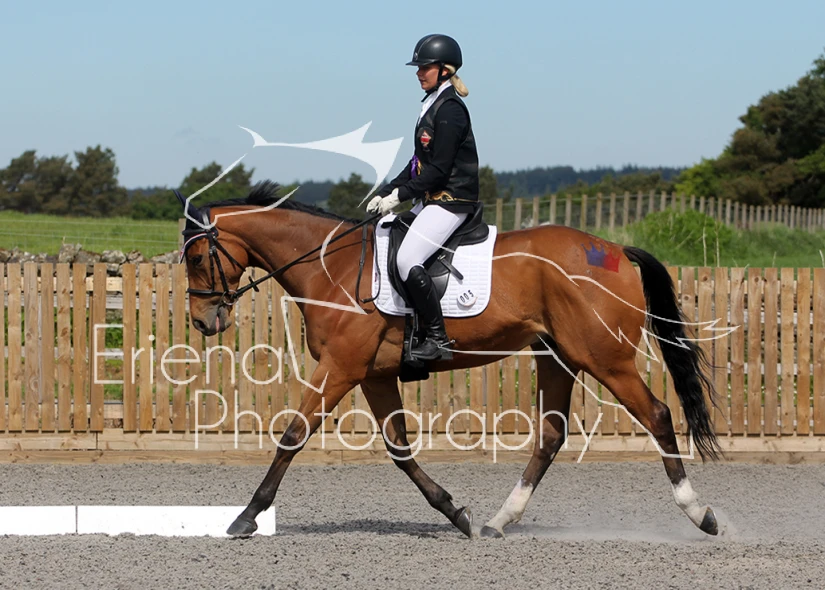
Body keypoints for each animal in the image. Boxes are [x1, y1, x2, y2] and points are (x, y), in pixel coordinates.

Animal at [175, 181, 722, 539]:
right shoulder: (372, 375)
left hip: (605, 359)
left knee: (658, 415)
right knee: (550, 435)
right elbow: (399, 449)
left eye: (197, 258)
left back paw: (702, 515)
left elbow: (292, 436)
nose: (202, 322)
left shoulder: (339, 368)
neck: (330, 266)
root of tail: (614, 250)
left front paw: (247, 515)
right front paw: (454, 513)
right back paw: (498, 521)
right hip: (556, 356)